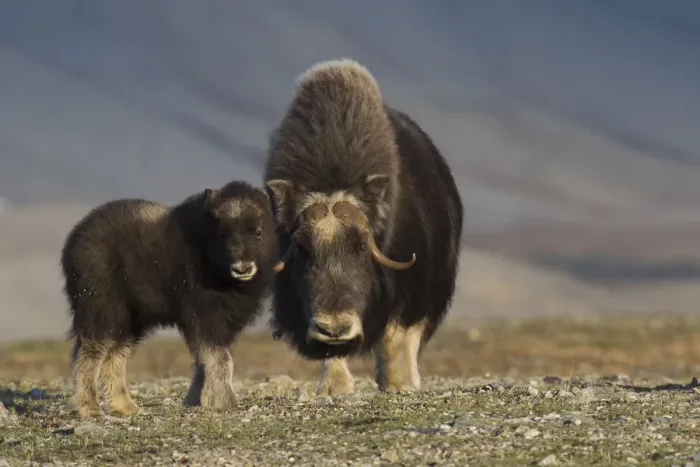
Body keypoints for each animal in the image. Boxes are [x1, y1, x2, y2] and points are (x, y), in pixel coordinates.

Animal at [60, 180, 283, 418]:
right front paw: (226, 402)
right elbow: (221, 358)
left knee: (115, 356)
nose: (243, 268)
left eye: (258, 231)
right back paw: (90, 407)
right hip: (102, 308)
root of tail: (76, 237)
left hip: (129, 321)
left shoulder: (224, 322)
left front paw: (197, 400)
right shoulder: (203, 316)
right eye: (222, 233)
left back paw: (125, 406)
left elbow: (205, 360)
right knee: (89, 351)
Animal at [264, 58, 463, 396]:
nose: (335, 328)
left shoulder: (407, 285)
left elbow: (395, 333)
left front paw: (398, 383)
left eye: (360, 247)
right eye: (302, 250)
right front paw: (335, 387)